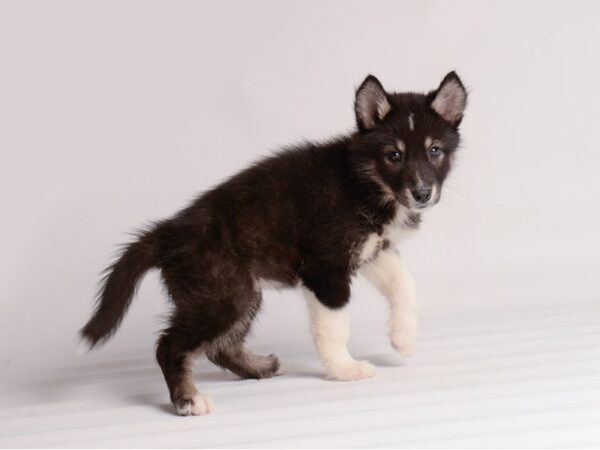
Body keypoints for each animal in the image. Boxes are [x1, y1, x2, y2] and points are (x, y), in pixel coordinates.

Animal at [78, 73, 468, 414]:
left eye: (435, 151)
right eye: (394, 155)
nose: (422, 194)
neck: (364, 182)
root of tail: (168, 232)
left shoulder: (373, 250)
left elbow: (405, 285)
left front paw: (403, 338)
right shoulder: (325, 268)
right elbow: (335, 325)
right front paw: (346, 369)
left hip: (240, 293)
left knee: (220, 346)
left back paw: (260, 368)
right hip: (222, 294)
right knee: (170, 346)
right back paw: (189, 401)